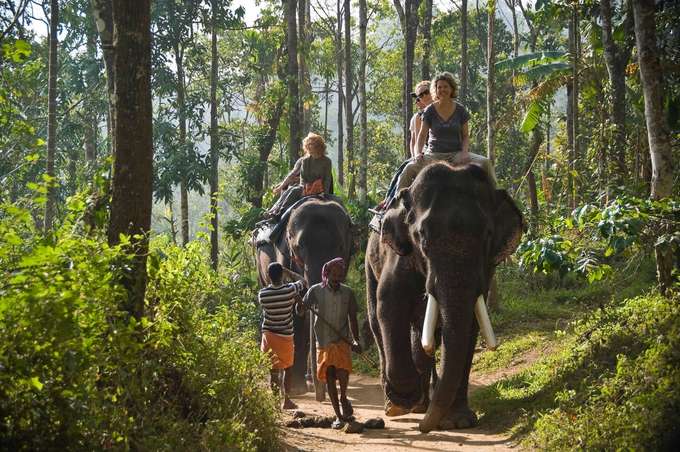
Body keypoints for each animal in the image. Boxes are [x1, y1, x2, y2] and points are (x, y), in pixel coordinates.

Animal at [365, 162, 524, 433]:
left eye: (487, 235)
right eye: (423, 237)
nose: (424, 428)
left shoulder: (485, 268)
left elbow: (470, 322)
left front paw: (459, 421)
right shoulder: (399, 254)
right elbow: (390, 303)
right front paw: (405, 398)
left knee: (421, 331)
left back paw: (422, 405)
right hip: (369, 261)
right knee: (377, 321)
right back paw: (398, 406)